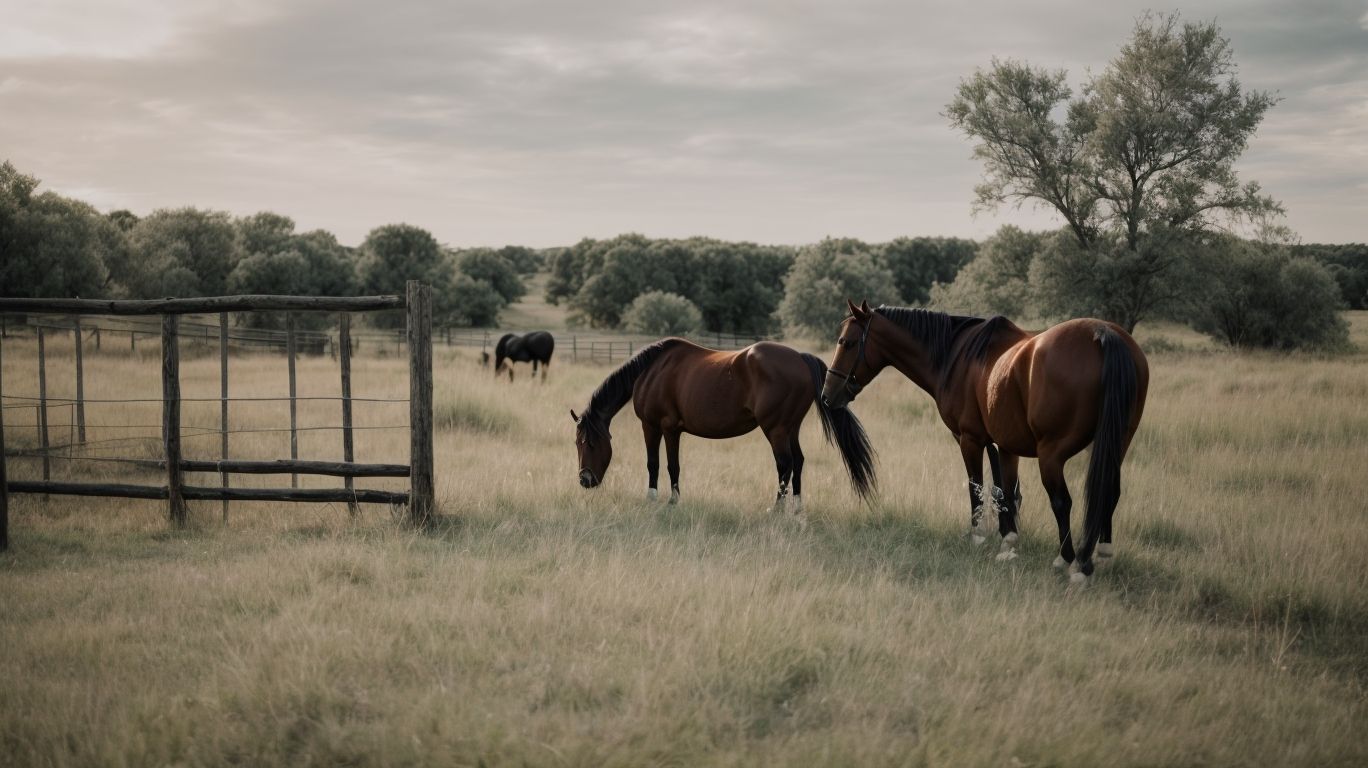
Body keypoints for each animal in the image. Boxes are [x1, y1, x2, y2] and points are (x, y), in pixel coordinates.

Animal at [571, 338, 876, 514]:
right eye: (577, 443)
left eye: (591, 443)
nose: (584, 480)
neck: (652, 371)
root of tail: (800, 357)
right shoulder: (670, 430)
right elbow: (668, 465)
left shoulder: (659, 427)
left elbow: (660, 464)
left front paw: (661, 499)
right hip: (791, 428)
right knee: (798, 462)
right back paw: (797, 507)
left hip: (776, 430)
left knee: (785, 464)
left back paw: (777, 508)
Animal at [820, 300, 1148, 583]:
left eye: (847, 343)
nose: (827, 395)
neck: (954, 356)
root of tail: (1101, 334)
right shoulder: (1004, 445)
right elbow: (1005, 491)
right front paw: (1009, 542)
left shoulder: (969, 439)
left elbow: (977, 486)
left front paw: (978, 536)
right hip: (1116, 445)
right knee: (1109, 490)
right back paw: (1102, 553)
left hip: (1051, 455)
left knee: (1062, 501)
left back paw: (1071, 561)